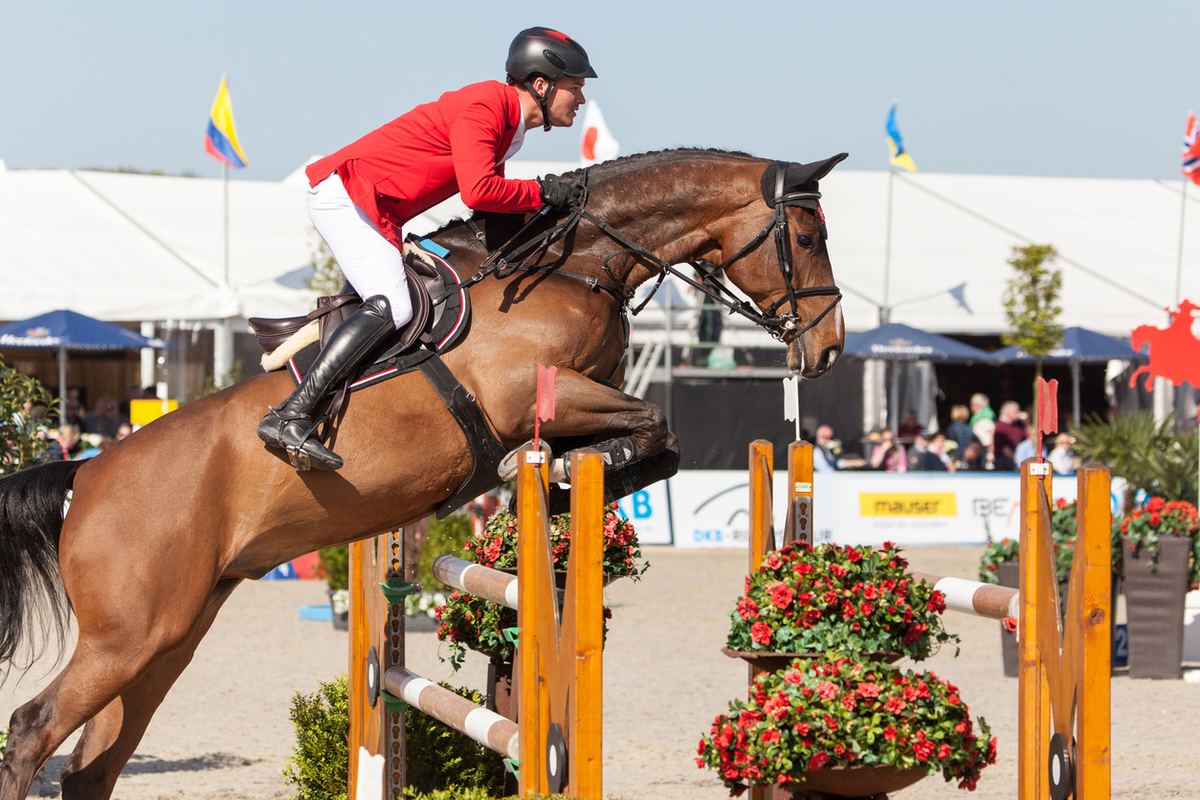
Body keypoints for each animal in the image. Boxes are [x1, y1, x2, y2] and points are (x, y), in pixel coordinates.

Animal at [0, 147, 847, 799]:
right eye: (808, 233)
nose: (831, 348)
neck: (573, 265)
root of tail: (86, 476)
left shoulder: (576, 402)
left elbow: (658, 444)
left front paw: (568, 482)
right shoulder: (534, 393)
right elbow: (656, 426)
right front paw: (552, 472)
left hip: (168, 636)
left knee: (91, 765)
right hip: (130, 637)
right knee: (32, 730)